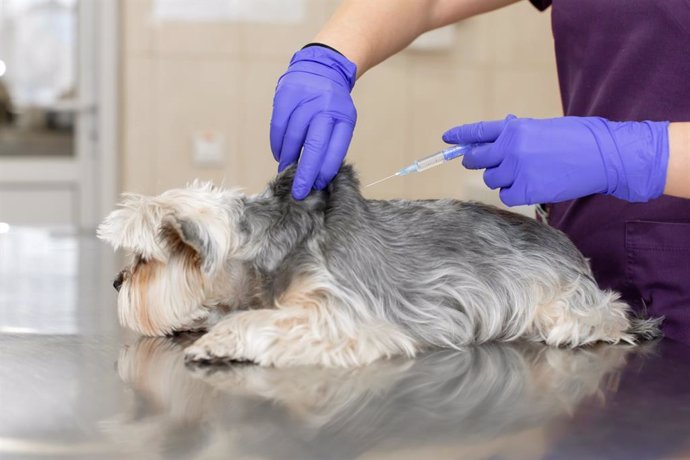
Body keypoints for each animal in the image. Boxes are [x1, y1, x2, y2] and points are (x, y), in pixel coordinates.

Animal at [98, 165, 660, 366]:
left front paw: (219, 339)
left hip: (567, 300)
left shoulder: (339, 315)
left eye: (144, 260)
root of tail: (557, 237)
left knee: (606, 312)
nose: (116, 281)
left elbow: (264, 321)